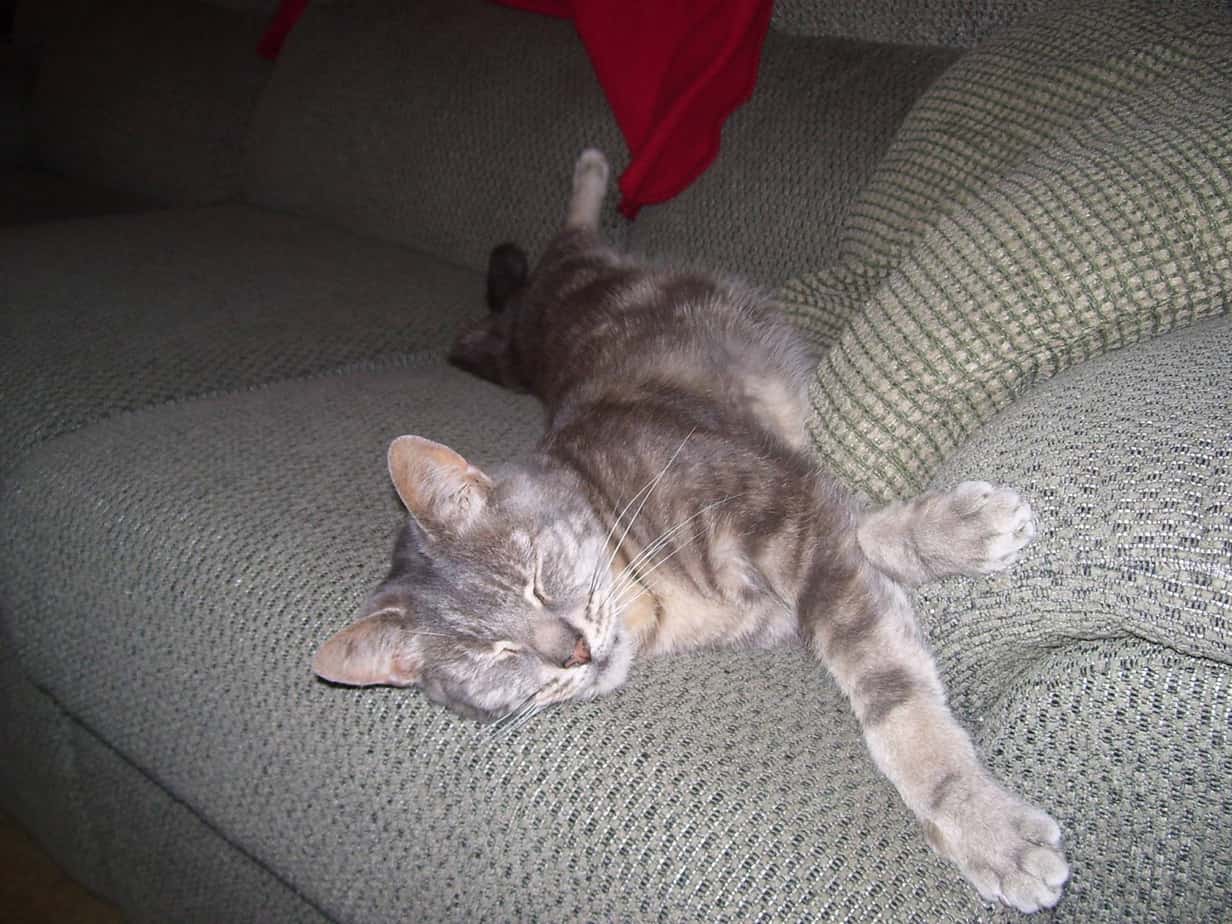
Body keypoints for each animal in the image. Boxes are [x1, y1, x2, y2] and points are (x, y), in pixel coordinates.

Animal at [315, 150, 1069, 911]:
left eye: (532, 579)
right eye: (491, 657)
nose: (573, 652)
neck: (656, 596)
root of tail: (529, 317)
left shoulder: (782, 496)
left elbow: (891, 684)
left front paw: (984, 824)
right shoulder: (798, 525)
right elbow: (862, 553)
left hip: (562, 283)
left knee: (569, 232)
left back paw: (593, 171)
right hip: (507, 342)